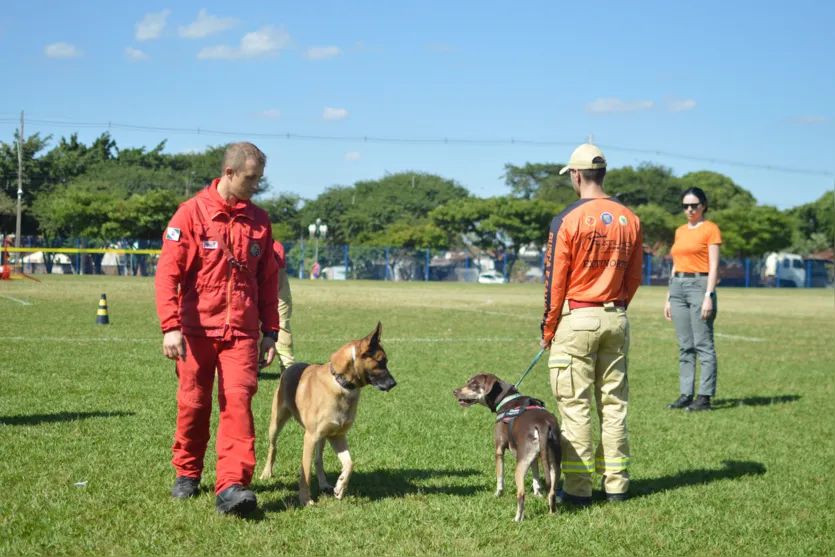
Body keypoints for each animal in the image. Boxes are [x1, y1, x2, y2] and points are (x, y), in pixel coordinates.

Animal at [260, 322, 396, 508]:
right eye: (381, 362)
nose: (394, 383)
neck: (341, 382)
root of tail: (289, 368)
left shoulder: (337, 436)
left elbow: (349, 464)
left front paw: (340, 487)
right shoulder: (309, 438)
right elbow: (305, 472)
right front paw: (305, 499)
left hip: (323, 437)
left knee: (319, 460)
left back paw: (324, 484)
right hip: (276, 423)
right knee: (273, 448)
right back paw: (267, 473)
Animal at [454, 374, 564, 520]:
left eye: (474, 384)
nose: (454, 391)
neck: (506, 399)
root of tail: (542, 425)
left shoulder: (499, 450)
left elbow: (500, 477)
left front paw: (498, 494)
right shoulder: (535, 457)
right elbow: (536, 477)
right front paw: (538, 494)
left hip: (520, 466)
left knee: (521, 494)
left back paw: (517, 518)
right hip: (554, 464)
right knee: (552, 493)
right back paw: (552, 513)